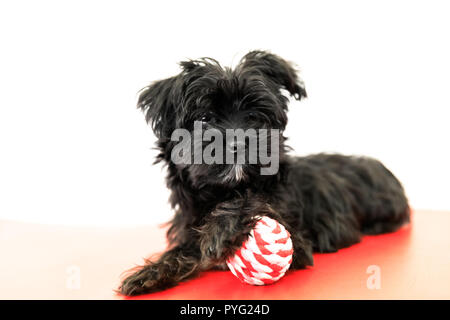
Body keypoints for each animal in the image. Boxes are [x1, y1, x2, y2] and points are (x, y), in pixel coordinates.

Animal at [118, 50, 410, 296]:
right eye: (205, 118)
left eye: (254, 116)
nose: (238, 142)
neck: (224, 191)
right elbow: (182, 250)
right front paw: (152, 273)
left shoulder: (299, 244)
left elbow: (250, 200)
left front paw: (223, 226)